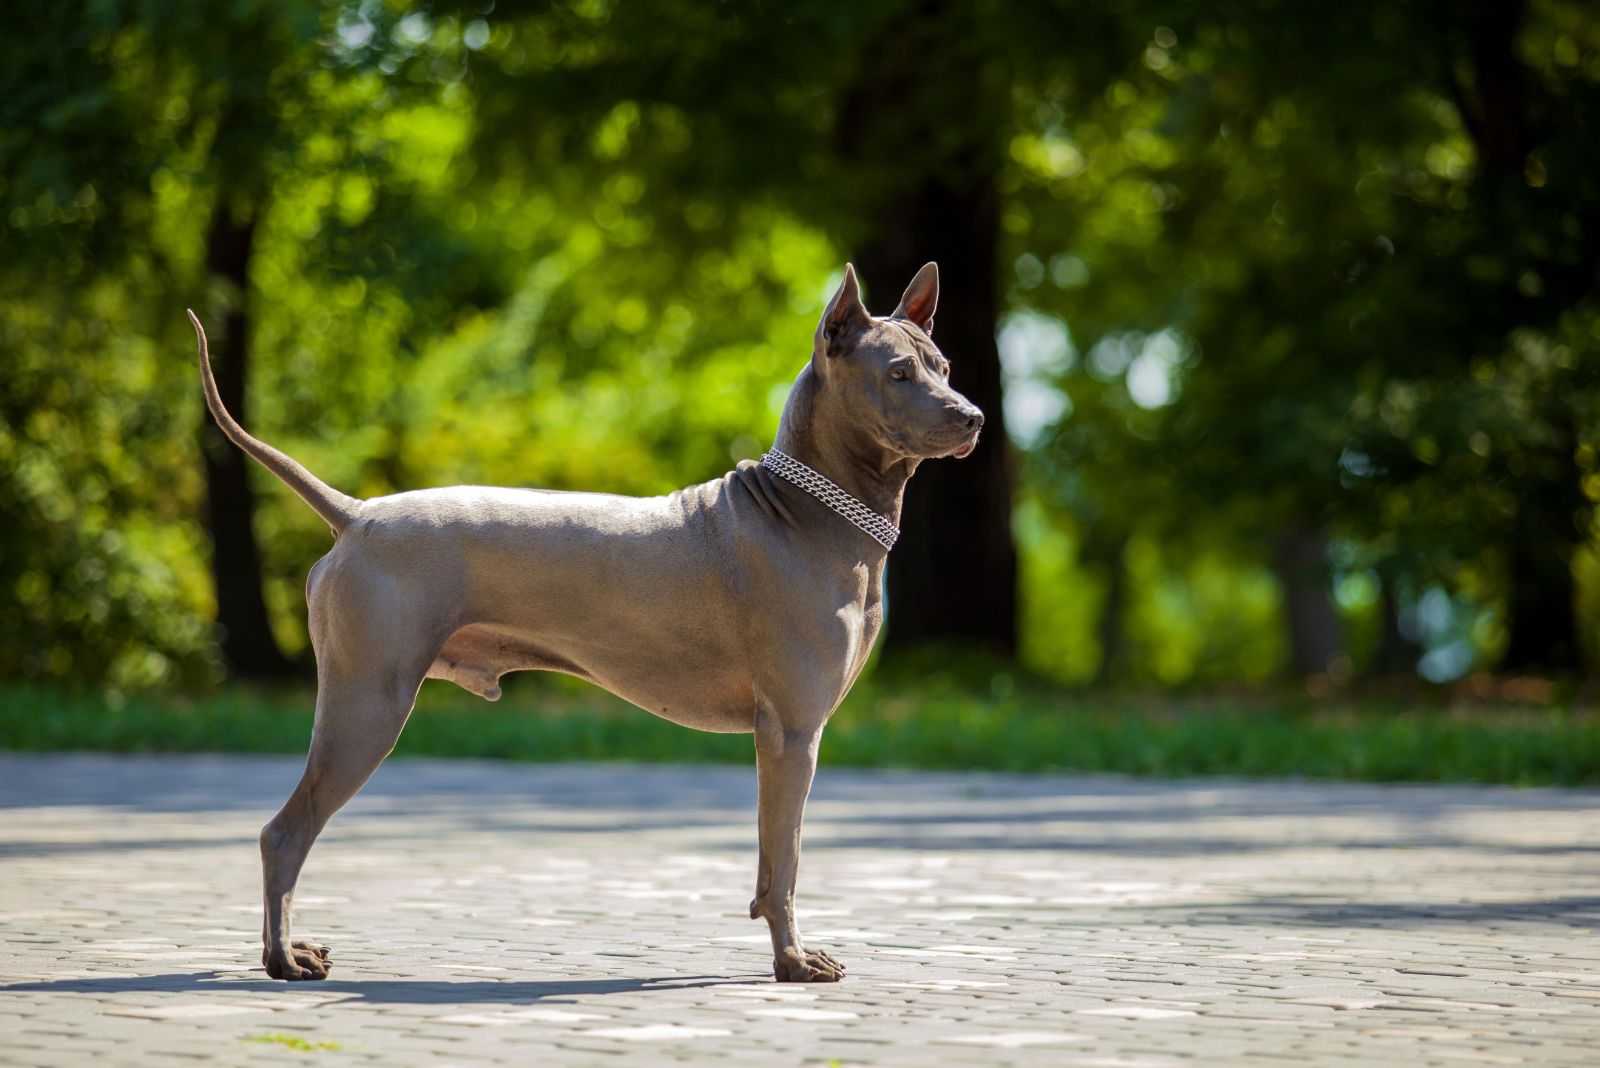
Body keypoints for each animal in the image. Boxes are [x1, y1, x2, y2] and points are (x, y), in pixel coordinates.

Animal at [193, 260, 979, 984]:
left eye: (943, 367)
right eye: (900, 372)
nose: (972, 416)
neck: (809, 514)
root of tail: (356, 514)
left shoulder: (787, 737)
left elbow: (771, 865)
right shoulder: (791, 735)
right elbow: (783, 861)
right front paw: (792, 961)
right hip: (367, 704)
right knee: (284, 833)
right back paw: (283, 957)